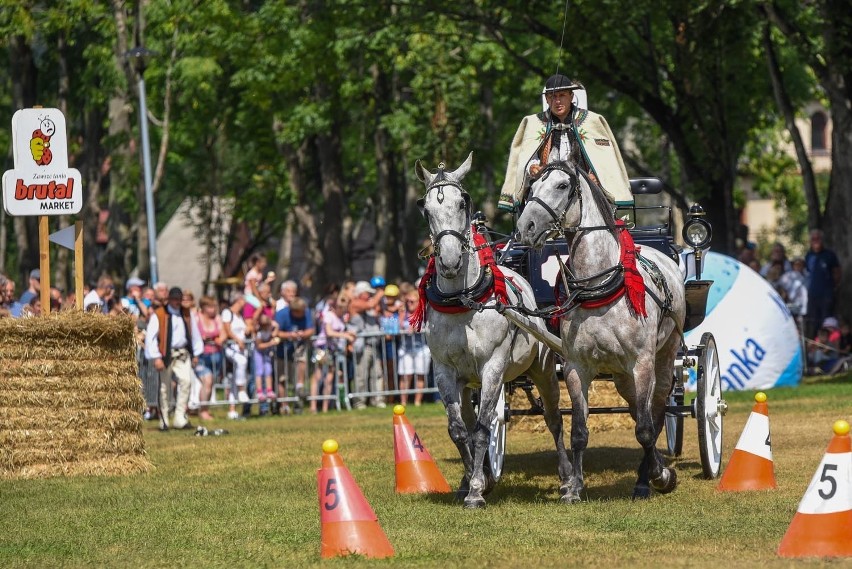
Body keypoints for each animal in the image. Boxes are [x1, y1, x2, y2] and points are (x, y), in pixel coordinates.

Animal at [414, 153, 572, 508]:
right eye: (425, 208)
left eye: (463, 202)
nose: (449, 261)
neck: (463, 300)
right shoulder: (444, 371)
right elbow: (460, 430)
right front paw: (476, 480)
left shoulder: (493, 367)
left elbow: (485, 429)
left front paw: (476, 490)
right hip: (467, 383)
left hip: (542, 369)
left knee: (554, 419)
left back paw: (569, 479)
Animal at [512, 162, 684, 500]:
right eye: (532, 186)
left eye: (562, 185)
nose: (526, 226)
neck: (599, 287)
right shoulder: (577, 367)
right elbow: (579, 431)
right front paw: (574, 487)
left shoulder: (641, 363)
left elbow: (646, 429)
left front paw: (658, 476)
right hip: (620, 373)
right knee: (637, 408)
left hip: (664, 355)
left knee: (656, 410)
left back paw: (650, 475)